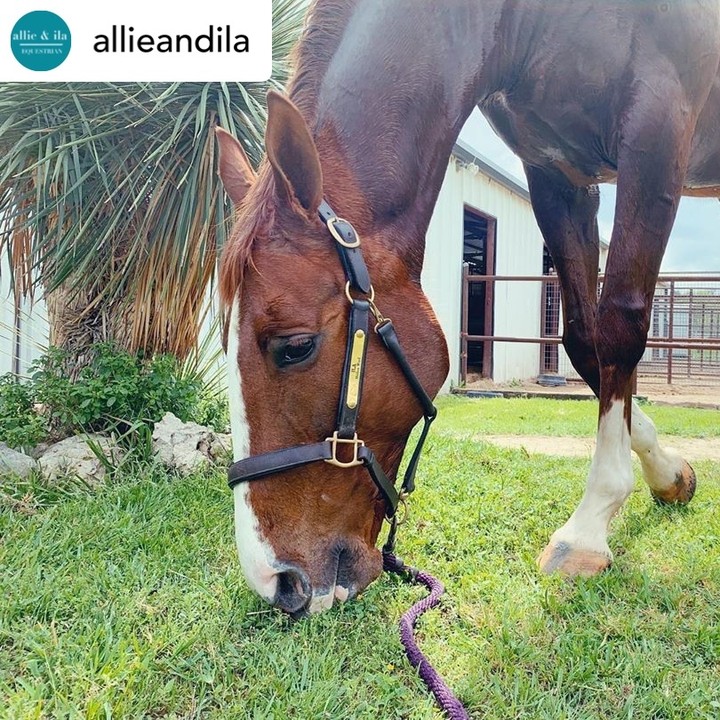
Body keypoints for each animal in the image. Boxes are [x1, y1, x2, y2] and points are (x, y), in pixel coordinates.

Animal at [216, 0, 720, 615]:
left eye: (294, 347)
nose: (277, 581)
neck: (534, 20)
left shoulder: (657, 134)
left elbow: (620, 326)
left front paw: (588, 528)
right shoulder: (558, 174)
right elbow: (584, 341)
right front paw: (667, 474)